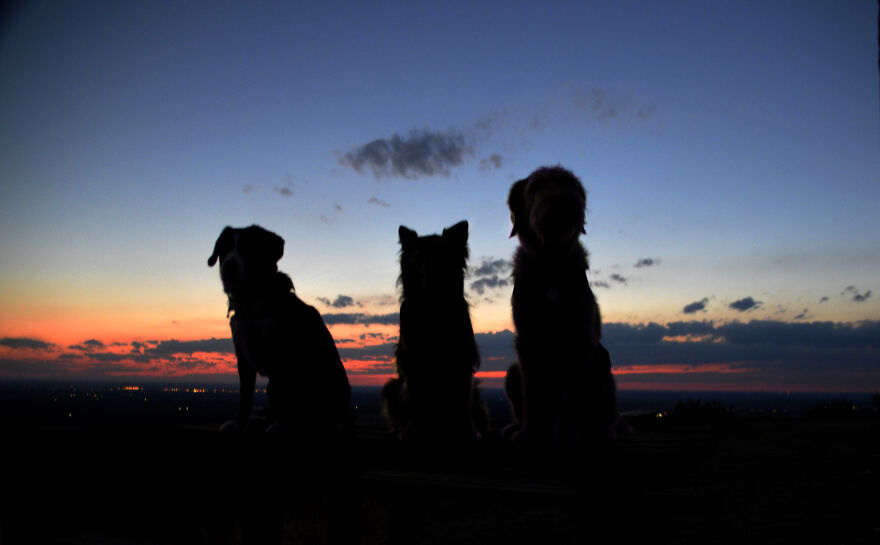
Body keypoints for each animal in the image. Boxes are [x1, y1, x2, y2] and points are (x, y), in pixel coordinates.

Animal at [208, 223, 352, 432]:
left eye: (248, 248)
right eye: (223, 249)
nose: (229, 267)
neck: (253, 303)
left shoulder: (284, 352)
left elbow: (286, 393)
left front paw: (282, 424)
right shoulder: (243, 356)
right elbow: (245, 395)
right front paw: (239, 422)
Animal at [506, 167, 624, 446]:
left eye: (571, 185)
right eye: (536, 187)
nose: (565, 201)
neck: (551, 266)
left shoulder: (580, 340)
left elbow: (571, 396)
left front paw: (566, 435)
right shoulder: (527, 341)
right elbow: (533, 394)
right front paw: (530, 433)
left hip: (601, 364)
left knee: (605, 412)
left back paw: (603, 430)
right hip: (511, 373)